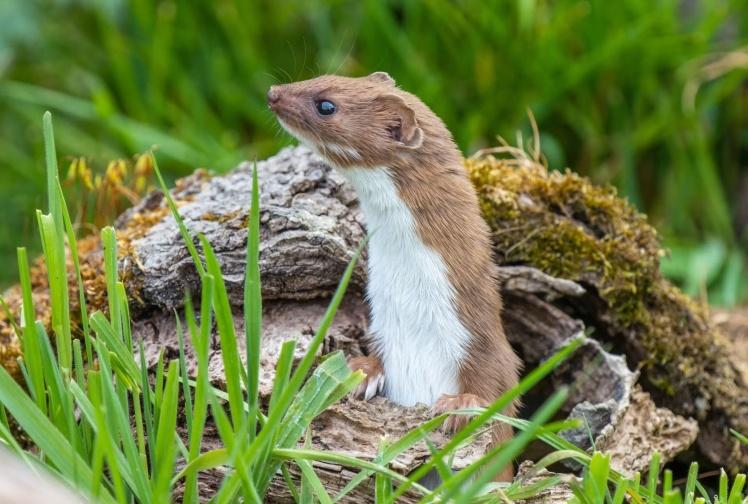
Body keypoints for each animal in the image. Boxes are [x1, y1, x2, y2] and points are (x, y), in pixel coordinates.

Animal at [268, 73, 520, 478]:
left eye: (326, 104)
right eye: (320, 77)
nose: (273, 93)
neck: (412, 307)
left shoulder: (477, 336)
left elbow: (496, 384)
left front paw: (459, 404)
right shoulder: (385, 325)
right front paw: (361, 372)